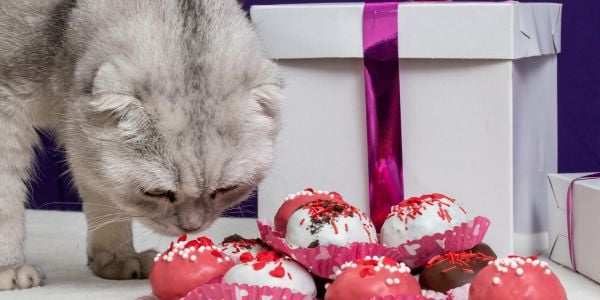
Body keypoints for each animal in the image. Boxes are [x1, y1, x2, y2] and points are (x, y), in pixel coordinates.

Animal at [0, 0, 284, 290]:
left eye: (225, 190)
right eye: (157, 193)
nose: (191, 227)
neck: (63, 23)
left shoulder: (83, 136)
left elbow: (105, 193)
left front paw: (117, 258)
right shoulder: (7, 110)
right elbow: (6, 200)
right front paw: (9, 267)